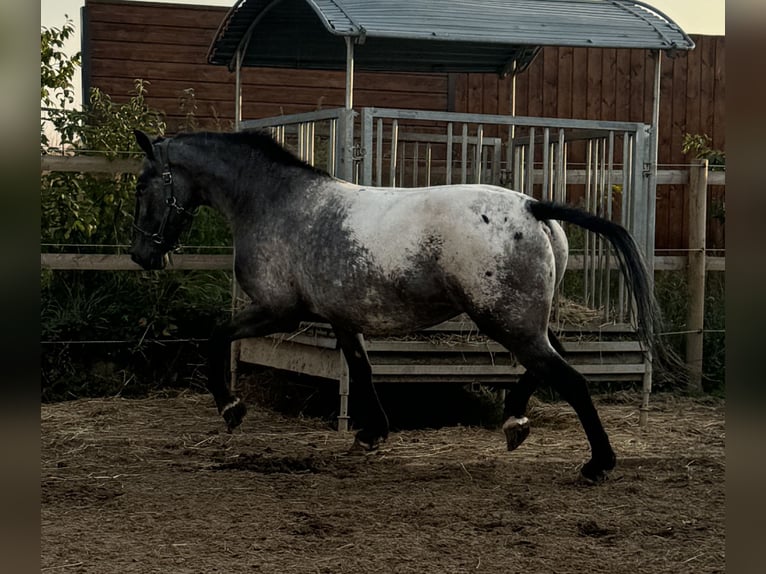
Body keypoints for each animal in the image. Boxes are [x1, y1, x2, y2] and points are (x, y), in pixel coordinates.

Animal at [129, 129, 676, 482]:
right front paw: (371, 435)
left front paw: (232, 409)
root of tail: (531, 206)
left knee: (570, 378)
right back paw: (515, 423)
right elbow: (361, 370)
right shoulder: (341, 318)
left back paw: (597, 464)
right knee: (551, 363)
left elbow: (215, 336)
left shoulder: (278, 309)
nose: (140, 254)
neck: (275, 205)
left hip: (507, 321)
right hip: (522, 319)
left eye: (143, 184)